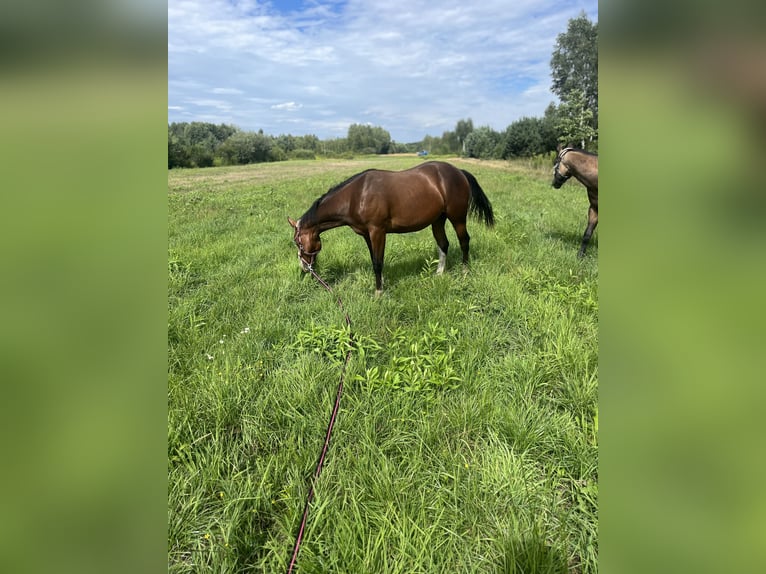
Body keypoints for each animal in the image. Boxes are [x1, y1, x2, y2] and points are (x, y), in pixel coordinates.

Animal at [288, 161, 495, 294]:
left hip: (457, 217)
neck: (356, 196)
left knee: (464, 241)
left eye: (298, 243)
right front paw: (382, 283)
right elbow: (375, 259)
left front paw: (378, 292)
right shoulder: (367, 234)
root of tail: (458, 171)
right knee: (443, 244)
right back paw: (439, 273)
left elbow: (378, 262)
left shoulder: (377, 231)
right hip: (437, 220)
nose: (304, 267)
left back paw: (465, 272)